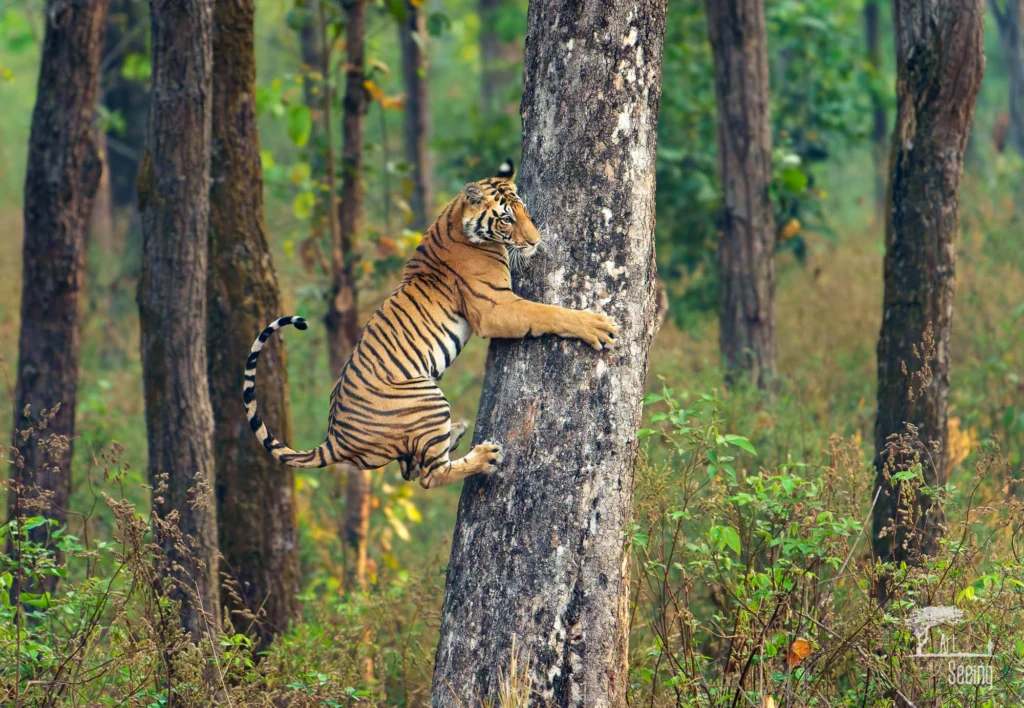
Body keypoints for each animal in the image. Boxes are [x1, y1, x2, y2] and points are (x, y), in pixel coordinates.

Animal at [243, 160, 618, 489]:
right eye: (507, 219)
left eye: (525, 212)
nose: (535, 241)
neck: (456, 216)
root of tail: (334, 439)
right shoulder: (495, 308)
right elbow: (547, 313)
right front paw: (598, 326)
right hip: (426, 399)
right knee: (429, 475)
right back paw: (484, 455)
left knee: (411, 468)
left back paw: (457, 433)